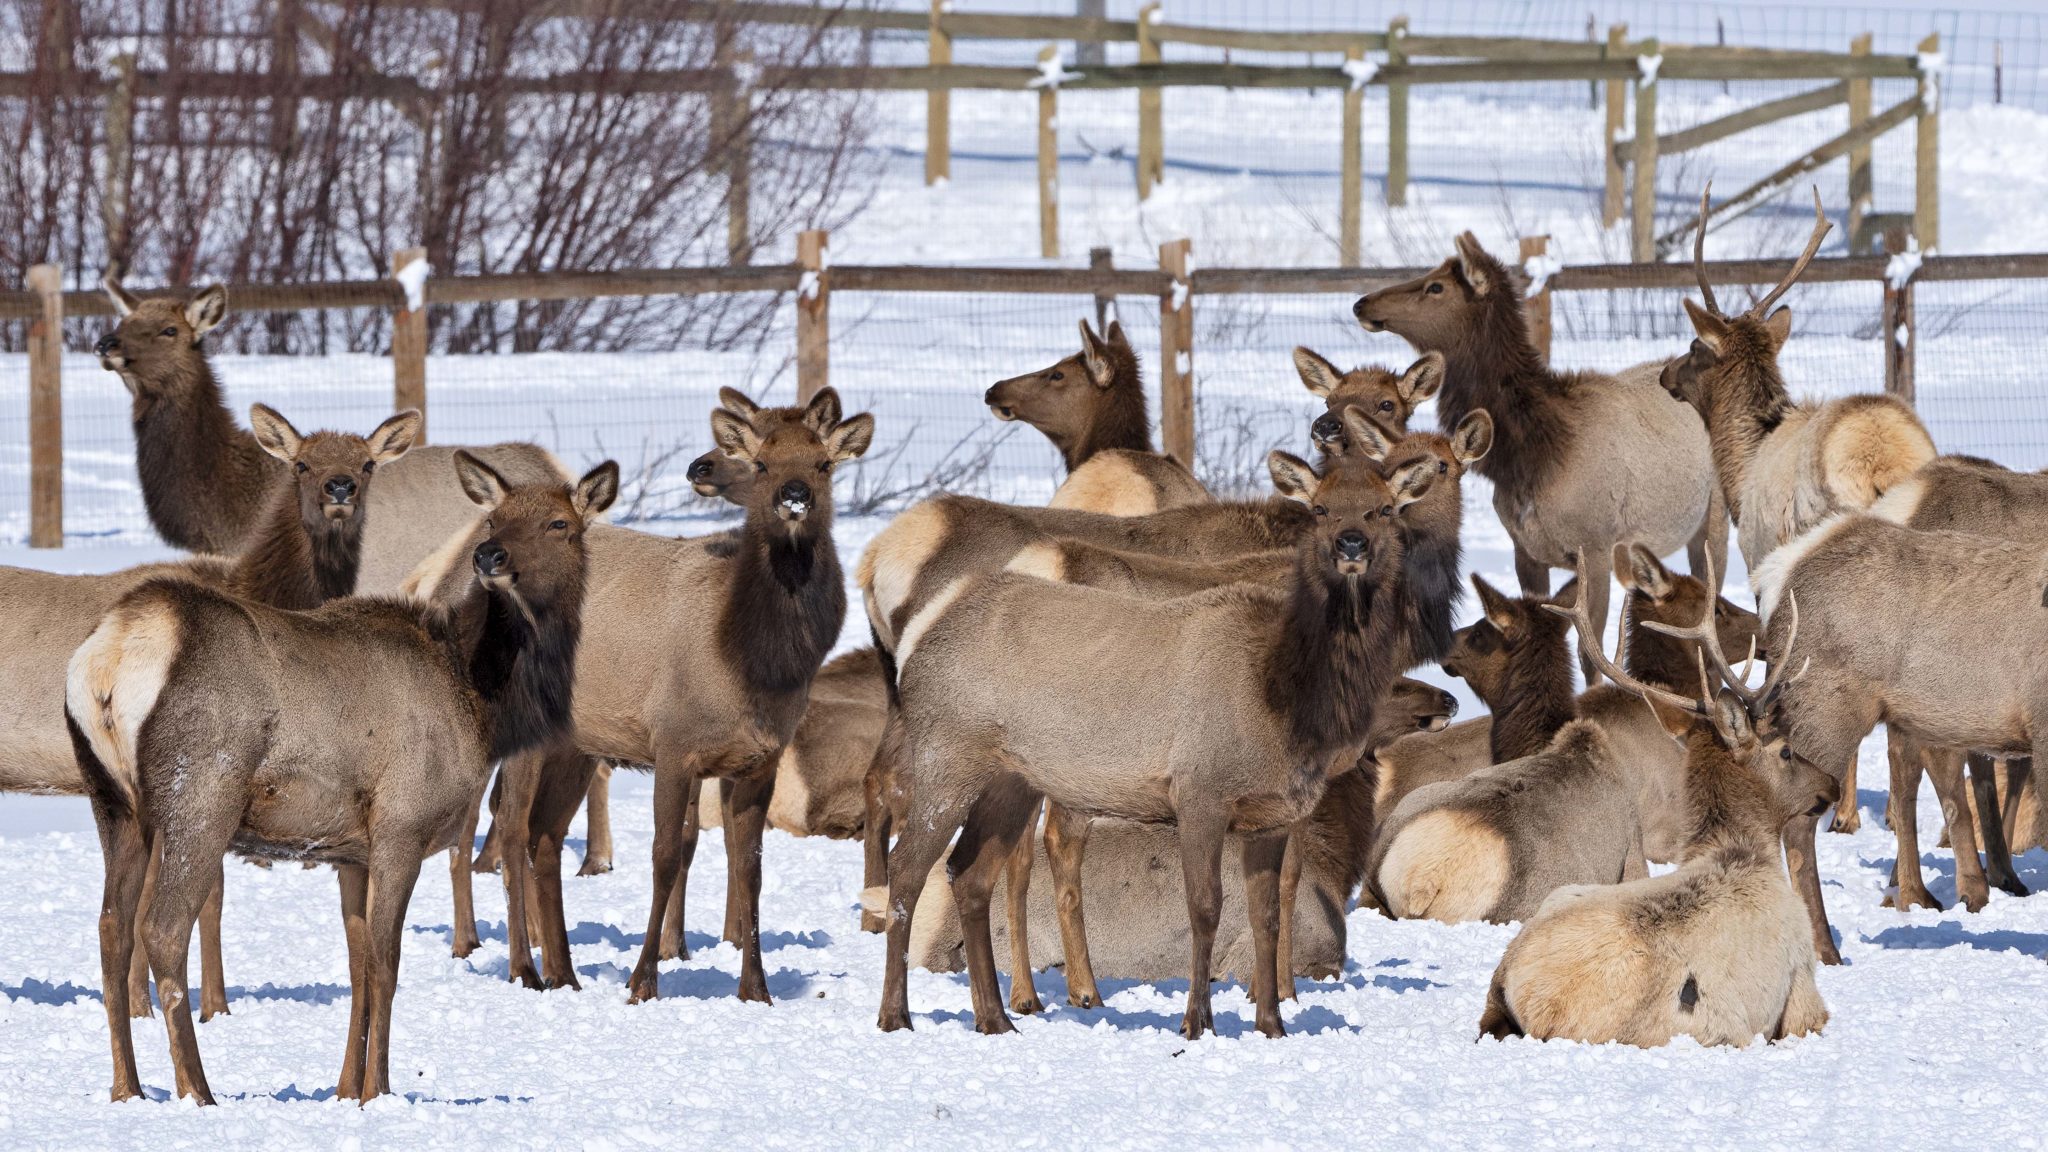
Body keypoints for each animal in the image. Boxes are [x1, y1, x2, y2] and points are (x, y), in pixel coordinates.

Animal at [1, 405, 417, 1023]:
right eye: (301, 463)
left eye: (367, 463)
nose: (339, 488)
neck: (263, 589)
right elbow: (204, 897)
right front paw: (200, 1005)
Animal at [68, 453, 616, 1104]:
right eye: (493, 519)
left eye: (560, 524)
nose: (490, 557)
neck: (483, 703)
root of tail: (112, 655)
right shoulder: (402, 824)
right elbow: (386, 963)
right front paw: (379, 1089)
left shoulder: (349, 851)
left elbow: (357, 967)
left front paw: (345, 1088)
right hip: (199, 794)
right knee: (162, 930)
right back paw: (197, 1090)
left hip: (112, 802)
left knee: (111, 930)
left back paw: (127, 1088)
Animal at [877, 447, 1437, 1039]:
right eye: (1321, 507)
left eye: (1385, 508)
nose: (1351, 545)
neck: (1289, 703)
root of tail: (920, 631)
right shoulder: (1199, 793)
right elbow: (1206, 909)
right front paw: (1197, 1023)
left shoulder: (1271, 814)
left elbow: (1266, 915)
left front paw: (1272, 1025)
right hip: (947, 756)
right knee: (907, 869)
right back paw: (897, 1014)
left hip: (1014, 777)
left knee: (969, 873)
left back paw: (995, 1016)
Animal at [1353, 233, 1729, 685]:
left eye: (1436, 287)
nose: (1362, 303)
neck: (1532, 457)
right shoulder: (1525, 549)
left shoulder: (1595, 548)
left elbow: (1591, 656)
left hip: (1715, 518)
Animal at [1660, 189, 1936, 837]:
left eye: (1694, 348)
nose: (1663, 374)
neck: (1741, 464)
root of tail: (1881, 462)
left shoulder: (1763, 567)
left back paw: (1853, 816)